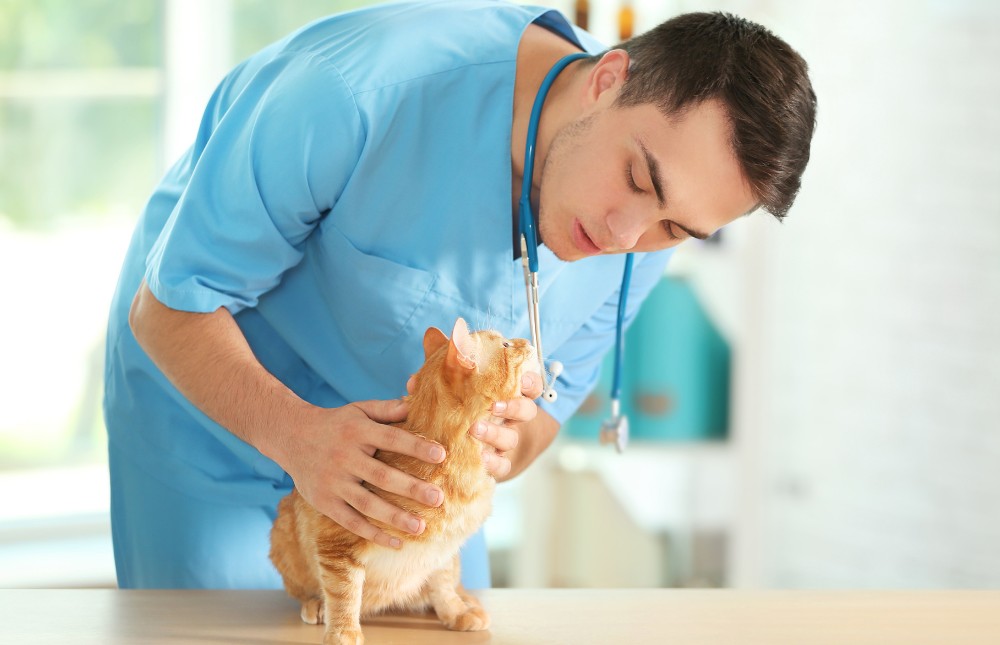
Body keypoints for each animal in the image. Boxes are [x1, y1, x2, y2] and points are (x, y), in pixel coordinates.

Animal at [268, 318, 540, 644]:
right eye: (506, 346)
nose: (528, 342)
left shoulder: (442, 550)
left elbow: (443, 584)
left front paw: (454, 611)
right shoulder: (337, 541)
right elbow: (343, 592)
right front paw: (343, 632)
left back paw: (465, 601)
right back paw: (316, 605)